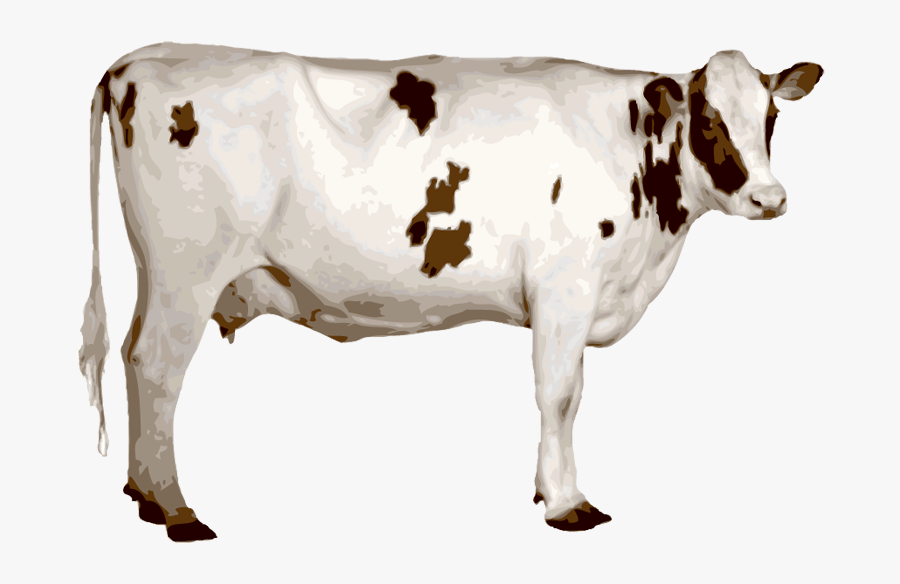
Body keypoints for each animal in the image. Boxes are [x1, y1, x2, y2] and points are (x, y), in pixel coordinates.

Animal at [79, 43, 822, 541]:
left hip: (158, 272)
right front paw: (567, 503)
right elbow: (561, 395)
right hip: (187, 270)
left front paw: (546, 491)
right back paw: (176, 509)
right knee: (158, 367)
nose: (770, 197)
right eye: (710, 121)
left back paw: (141, 492)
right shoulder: (565, 289)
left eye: (770, 118)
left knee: (133, 355)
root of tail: (139, 60)